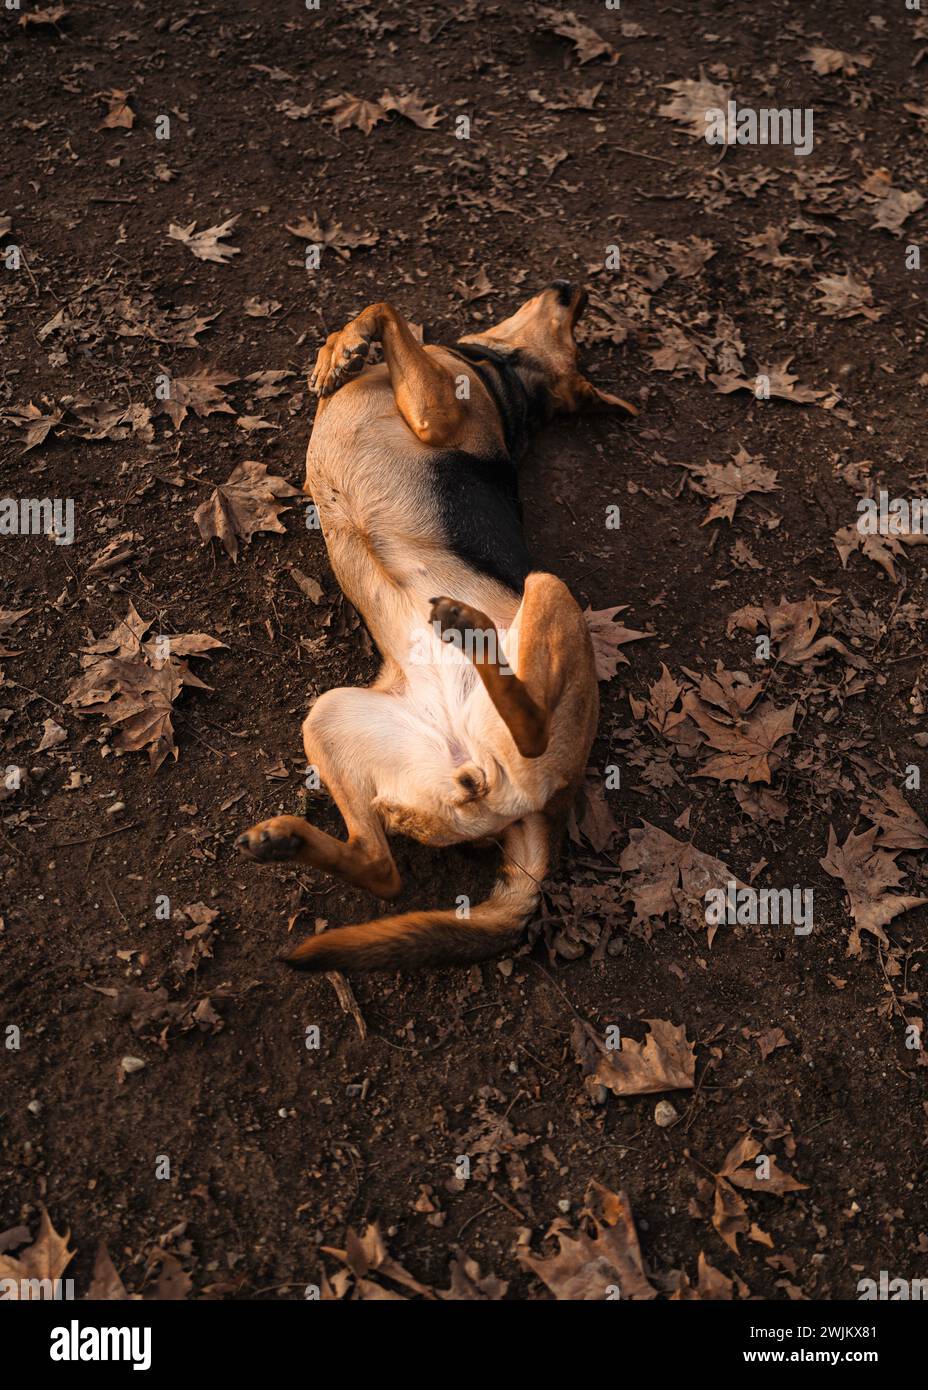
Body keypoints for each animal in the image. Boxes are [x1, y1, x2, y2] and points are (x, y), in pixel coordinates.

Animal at [236, 282, 633, 973]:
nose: (575, 291)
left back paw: (469, 627)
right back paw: (286, 842)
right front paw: (337, 352)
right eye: (576, 329)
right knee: (382, 871)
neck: (503, 379)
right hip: (331, 716)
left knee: (530, 724)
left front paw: (345, 348)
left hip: (548, 591)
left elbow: (384, 310)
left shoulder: (434, 412)